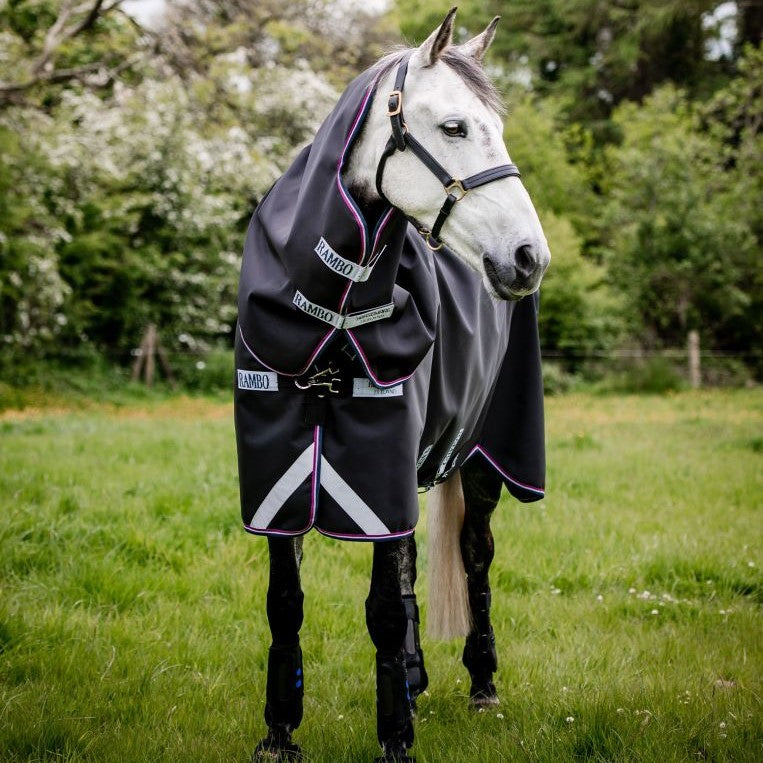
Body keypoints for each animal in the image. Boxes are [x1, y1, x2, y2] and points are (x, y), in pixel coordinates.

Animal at [233, 8, 550, 761]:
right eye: (454, 127)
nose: (529, 257)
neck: (327, 310)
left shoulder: (379, 470)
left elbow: (381, 604)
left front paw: (395, 741)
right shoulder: (280, 473)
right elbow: (285, 602)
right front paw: (278, 733)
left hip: (480, 459)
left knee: (476, 558)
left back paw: (480, 683)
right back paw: (411, 677)